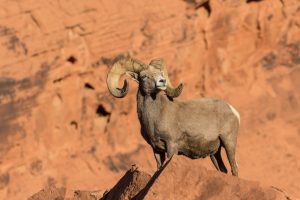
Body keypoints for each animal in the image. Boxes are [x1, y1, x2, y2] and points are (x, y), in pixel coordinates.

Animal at [106, 57, 240, 175]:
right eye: (143, 76)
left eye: (160, 73)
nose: (162, 81)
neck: (154, 119)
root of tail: (232, 110)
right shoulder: (156, 149)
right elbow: (159, 168)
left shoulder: (171, 146)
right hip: (215, 153)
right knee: (223, 170)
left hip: (228, 142)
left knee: (234, 169)